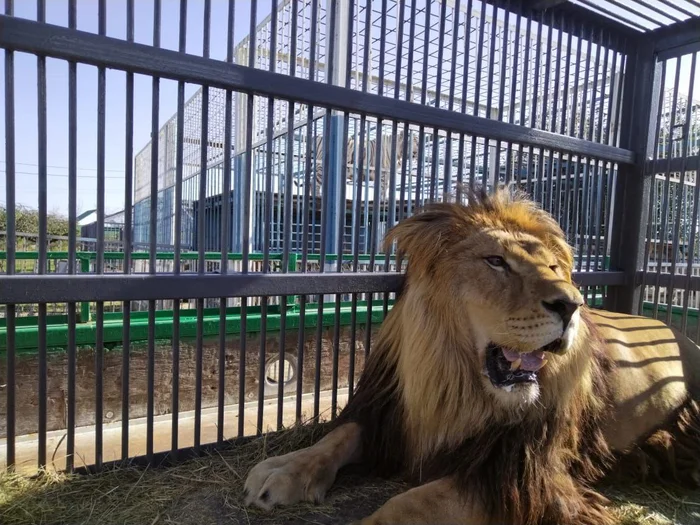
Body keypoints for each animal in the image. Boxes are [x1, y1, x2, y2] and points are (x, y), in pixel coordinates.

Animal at [243, 187, 700, 524]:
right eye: (496, 261)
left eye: (555, 268)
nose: (573, 305)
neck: (455, 377)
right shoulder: (390, 415)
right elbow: (339, 435)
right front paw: (283, 469)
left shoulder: (518, 470)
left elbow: (409, 504)